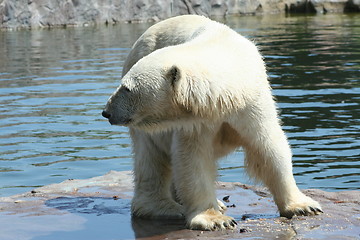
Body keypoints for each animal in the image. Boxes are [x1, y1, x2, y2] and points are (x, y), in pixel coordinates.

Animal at [102, 15, 324, 231]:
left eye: (127, 89)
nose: (106, 111)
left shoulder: (253, 102)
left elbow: (269, 148)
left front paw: (303, 207)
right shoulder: (195, 121)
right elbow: (193, 160)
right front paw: (215, 219)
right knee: (151, 156)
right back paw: (165, 207)